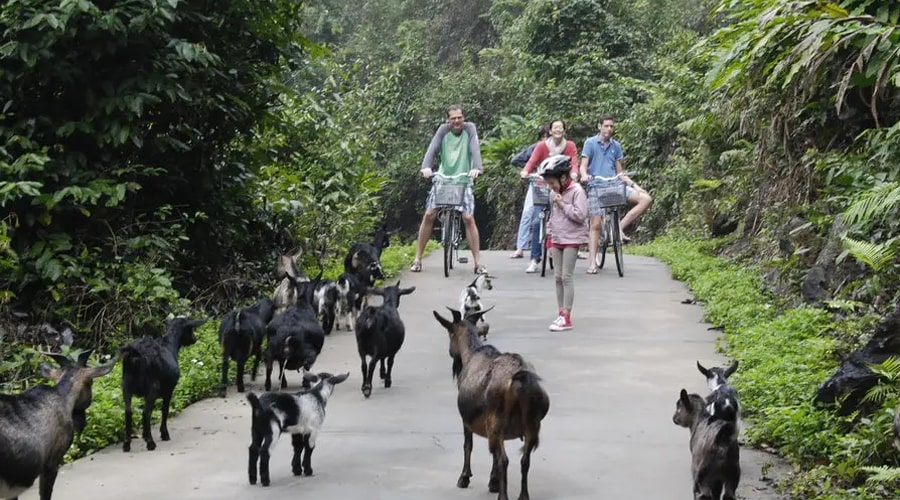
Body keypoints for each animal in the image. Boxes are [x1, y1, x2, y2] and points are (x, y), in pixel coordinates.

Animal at [118, 316, 204, 454]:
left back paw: (126, 444)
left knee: (128, 411)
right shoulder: (169, 390)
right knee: (146, 412)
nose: (194, 339)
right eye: (190, 329)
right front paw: (164, 434)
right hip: (152, 388)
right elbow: (165, 410)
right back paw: (150, 442)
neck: (170, 345)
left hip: (125, 385)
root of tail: (134, 355)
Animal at [430, 308, 548, 500]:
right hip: (532, 424)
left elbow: (468, 445)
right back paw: (523, 496)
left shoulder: (467, 420)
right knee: (524, 460)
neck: (471, 353)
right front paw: (493, 482)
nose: (453, 356)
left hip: (497, 419)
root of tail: (521, 381)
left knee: (504, 460)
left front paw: (464, 478)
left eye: (450, 333)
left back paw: (503, 496)